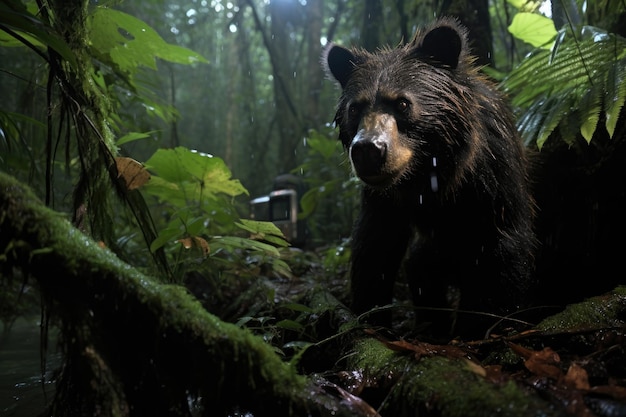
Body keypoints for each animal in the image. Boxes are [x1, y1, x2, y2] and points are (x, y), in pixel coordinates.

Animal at [322, 17, 536, 338]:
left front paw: (480, 326)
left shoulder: (493, 178)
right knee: (421, 267)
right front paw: (371, 318)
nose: (368, 150)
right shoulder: (383, 198)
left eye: (402, 103)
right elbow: (375, 247)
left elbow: (501, 251)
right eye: (355, 108)